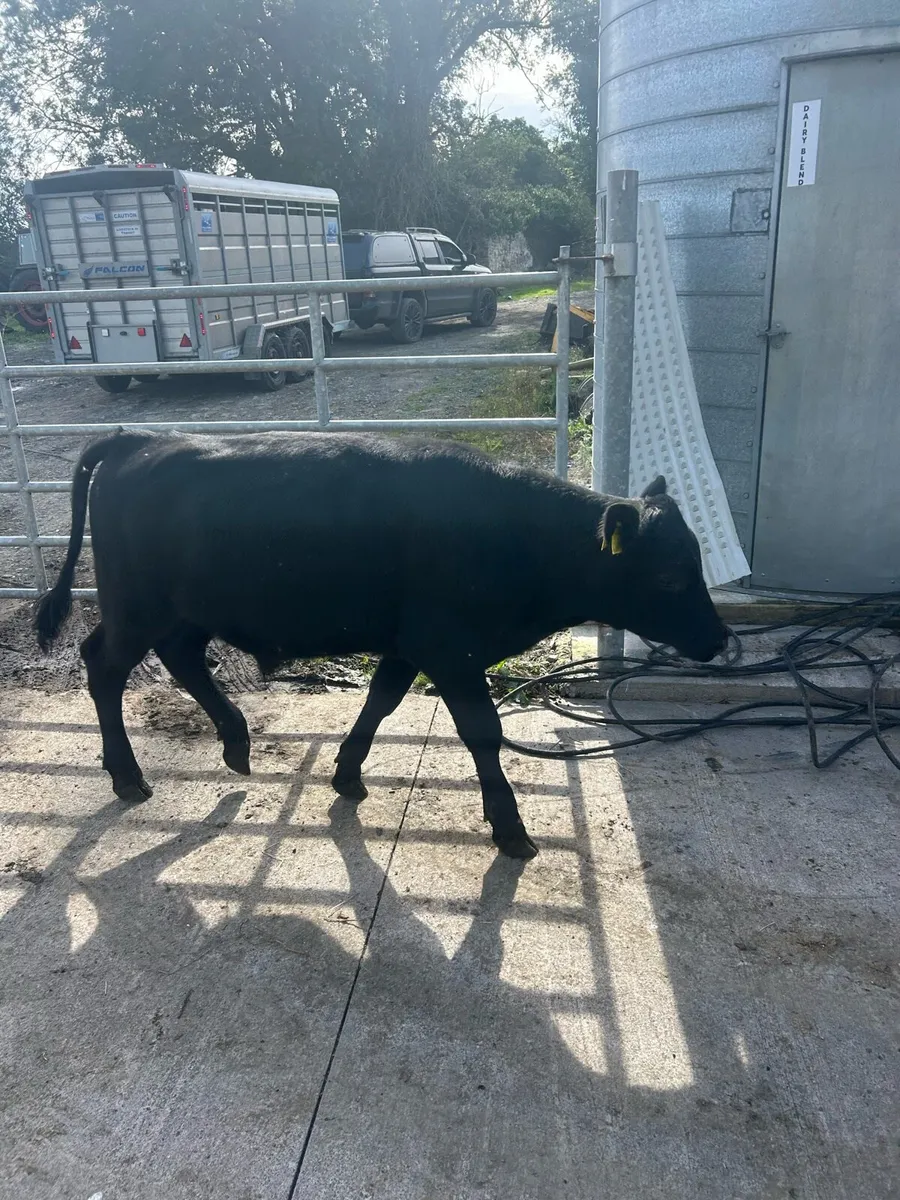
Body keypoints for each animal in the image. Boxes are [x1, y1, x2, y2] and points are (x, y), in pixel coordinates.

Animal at [35, 431, 728, 858]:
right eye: (671, 575)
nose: (720, 638)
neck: (515, 534)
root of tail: (142, 438)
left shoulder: (408, 643)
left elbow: (382, 700)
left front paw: (347, 773)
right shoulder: (449, 647)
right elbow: (482, 732)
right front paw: (510, 828)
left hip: (182, 611)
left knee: (181, 658)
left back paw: (235, 742)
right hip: (136, 607)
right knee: (104, 667)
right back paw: (129, 776)